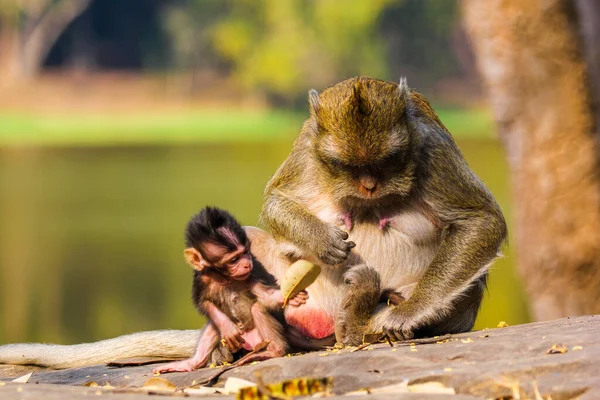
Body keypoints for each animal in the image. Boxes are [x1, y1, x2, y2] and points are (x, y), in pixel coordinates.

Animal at [154, 208, 310, 374]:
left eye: (245, 252)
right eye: (233, 260)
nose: (247, 264)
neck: (224, 277)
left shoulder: (250, 276)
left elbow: (266, 296)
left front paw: (293, 297)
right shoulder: (201, 279)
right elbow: (205, 303)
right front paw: (227, 327)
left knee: (257, 309)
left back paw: (274, 351)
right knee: (214, 323)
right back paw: (193, 363)